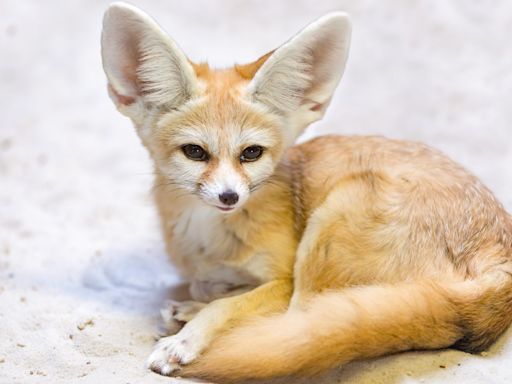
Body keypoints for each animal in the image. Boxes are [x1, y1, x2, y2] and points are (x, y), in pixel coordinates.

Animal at [101, 2, 512, 380]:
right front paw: (197, 306)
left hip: (333, 218)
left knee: (298, 322)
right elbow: (214, 288)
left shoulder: (284, 279)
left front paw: (189, 336)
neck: (211, 240)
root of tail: (499, 262)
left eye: (251, 153)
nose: (229, 197)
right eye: (195, 152)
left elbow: (231, 304)